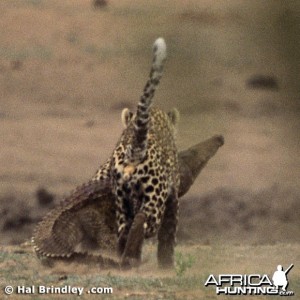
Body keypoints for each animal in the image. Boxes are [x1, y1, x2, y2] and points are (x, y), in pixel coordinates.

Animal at [92, 37, 179, 268]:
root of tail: (134, 150)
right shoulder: (173, 196)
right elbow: (169, 234)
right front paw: (167, 264)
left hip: (122, 199)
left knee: (124, 229)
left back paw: (127, 258)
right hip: (154, 200)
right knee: (143, 223)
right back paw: (132, 257)